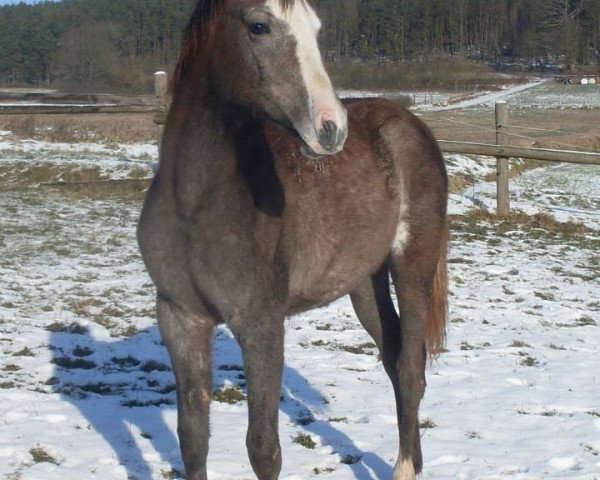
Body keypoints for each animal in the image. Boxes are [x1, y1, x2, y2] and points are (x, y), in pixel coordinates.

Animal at [138, 1, 448, 478]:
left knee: (412, 369)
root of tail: (413, 124)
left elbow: (263, 448)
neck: (194, 205)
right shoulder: (179, 317)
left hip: (413, 265)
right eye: (258, 26)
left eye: (316, 29)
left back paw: (405, 467)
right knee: (394, 360)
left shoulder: (261, 324)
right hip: (364, 283)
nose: (331, 128)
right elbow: (192, 437)